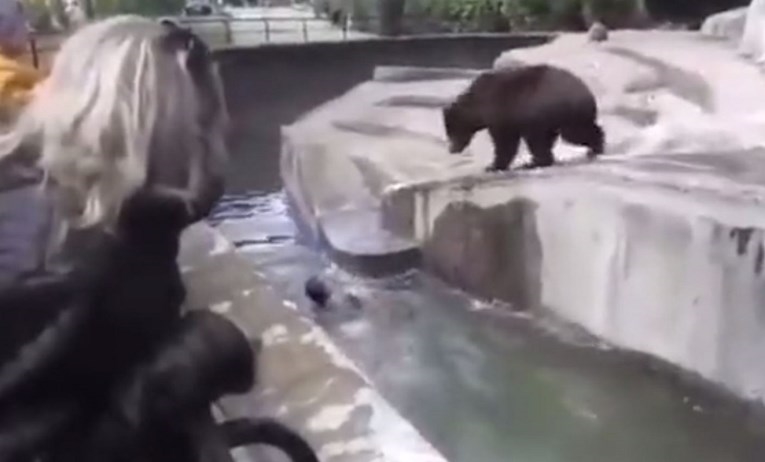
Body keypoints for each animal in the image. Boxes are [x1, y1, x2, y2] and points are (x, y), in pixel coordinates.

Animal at [442, 64, 605, 172]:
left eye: (451, 130)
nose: (451, 149)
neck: (477, 105)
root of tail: (587, 91)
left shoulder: (502, 112)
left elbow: (505, 142)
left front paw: (493, 166)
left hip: (563, 111)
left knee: (574, 132)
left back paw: (595, 148)